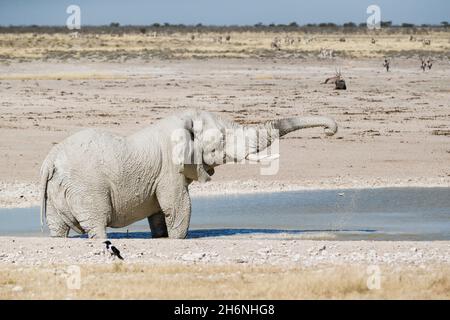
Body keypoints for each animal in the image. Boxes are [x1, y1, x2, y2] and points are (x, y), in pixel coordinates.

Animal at [40, 109, 338, 238]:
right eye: (222, 138)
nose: (329, 131)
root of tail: (49, 162)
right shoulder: (169, 170)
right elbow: (178, 206)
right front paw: (177, 240)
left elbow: (159, 213)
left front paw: (162, 239)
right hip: (86, 186)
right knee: (97, 224)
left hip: (58, 191)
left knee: (58, 228)